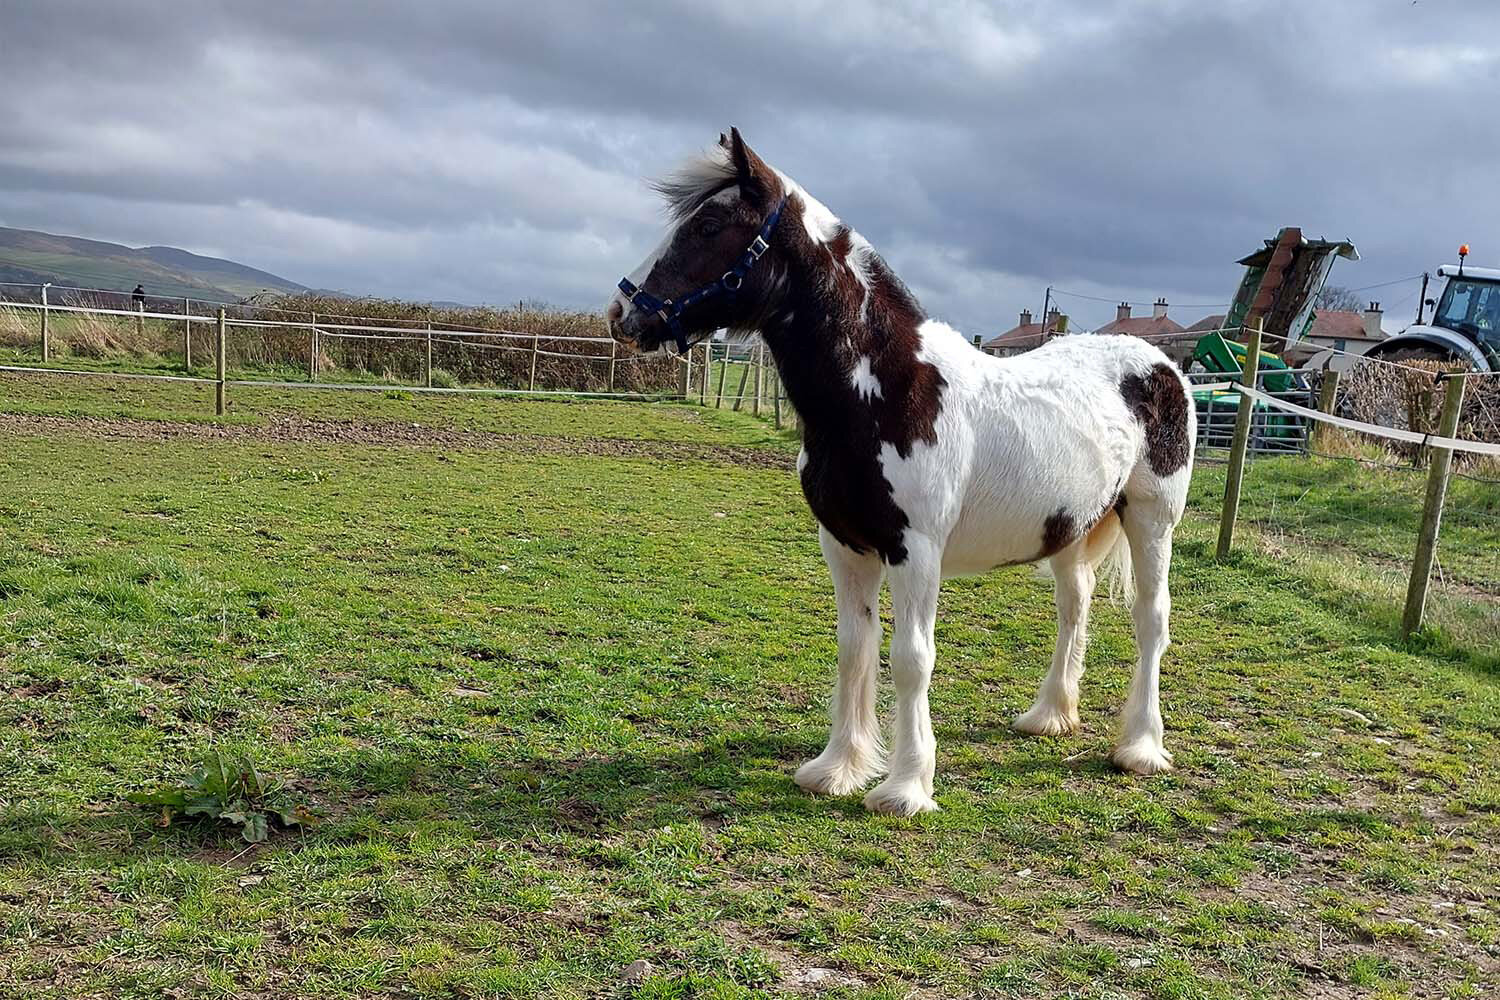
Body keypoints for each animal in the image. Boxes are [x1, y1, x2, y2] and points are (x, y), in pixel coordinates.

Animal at [606, 128, 1194, 815]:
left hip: (1151, 522)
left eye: (709, 226)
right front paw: (837, 769)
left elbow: (912, 658)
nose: (620, 313)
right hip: (1070, 529)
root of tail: (1163, 365)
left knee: (1151, 622)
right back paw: (1048, 716)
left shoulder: (915, 552)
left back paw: (1140, 749)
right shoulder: (844, 546)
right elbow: (854, 650)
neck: (885, 390)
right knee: (1075, 607)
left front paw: (906, 787)